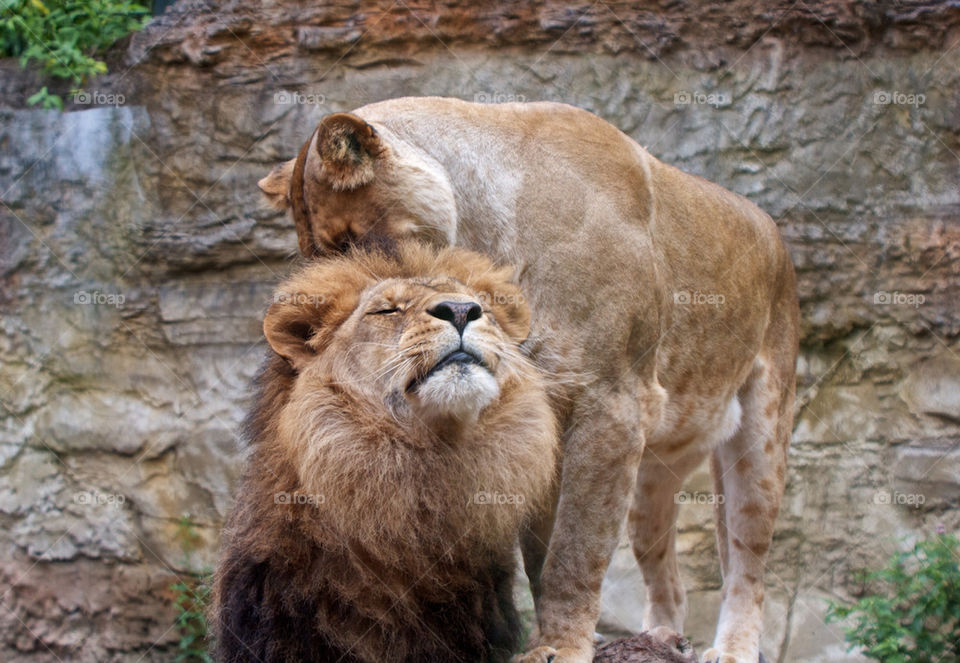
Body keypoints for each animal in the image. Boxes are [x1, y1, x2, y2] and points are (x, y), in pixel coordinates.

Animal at [258, 97, 800, 663]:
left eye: (349, 243)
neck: (487, 236)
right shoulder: (548, 416)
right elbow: (540, 557)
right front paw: (552, 639)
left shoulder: (613, 405)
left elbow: (575, 550)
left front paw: (562, 646)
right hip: (651, 482)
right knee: (668, 576)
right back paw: (661, 640)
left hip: (761, 436)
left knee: (747, 563)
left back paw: (732, 648)